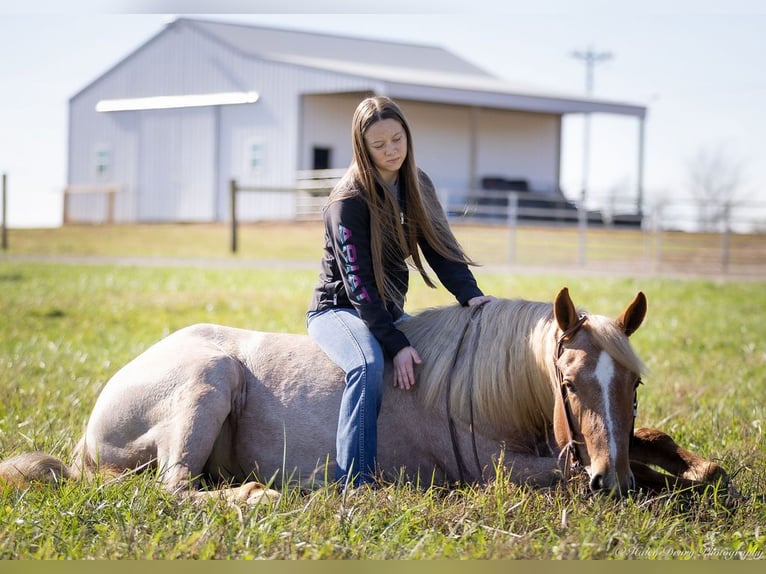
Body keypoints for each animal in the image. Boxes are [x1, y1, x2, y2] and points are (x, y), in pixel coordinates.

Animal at [0, 288, 732, 504]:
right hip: (207, 381)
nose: (612, 482)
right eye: (571, 382)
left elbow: (658, 446)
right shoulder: (504, 468)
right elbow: (582, 469)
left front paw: (699, 469)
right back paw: (256, 497)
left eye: (633, 383)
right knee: (177, 488)